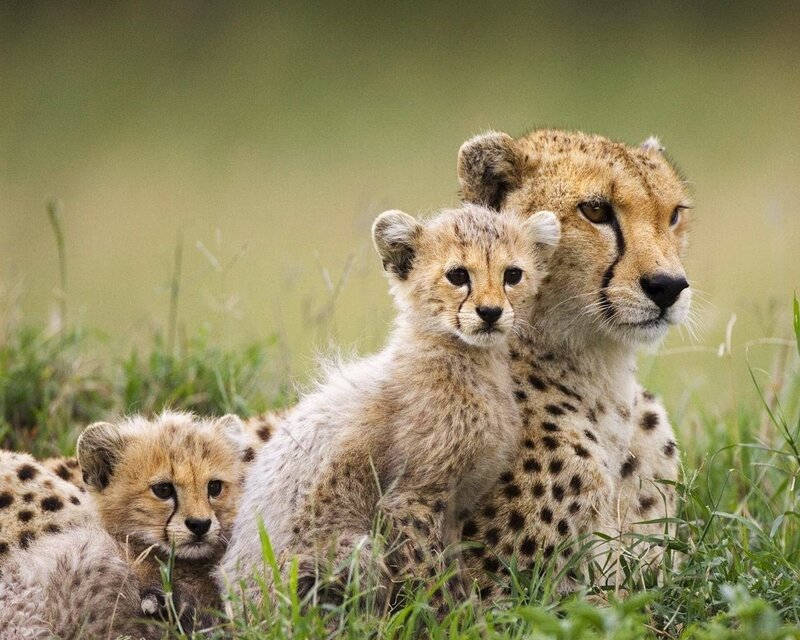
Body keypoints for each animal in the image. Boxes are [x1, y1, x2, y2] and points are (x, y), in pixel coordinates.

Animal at [217, 203, 561, 609]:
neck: (469, 360)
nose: (490, 312)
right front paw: (445, 616)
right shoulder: (409, 500)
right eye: (458, 275)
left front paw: (470, 610)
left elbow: (454, 568)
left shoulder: (455, 508)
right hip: (349, 552)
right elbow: (431, 577)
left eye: (513, 275)